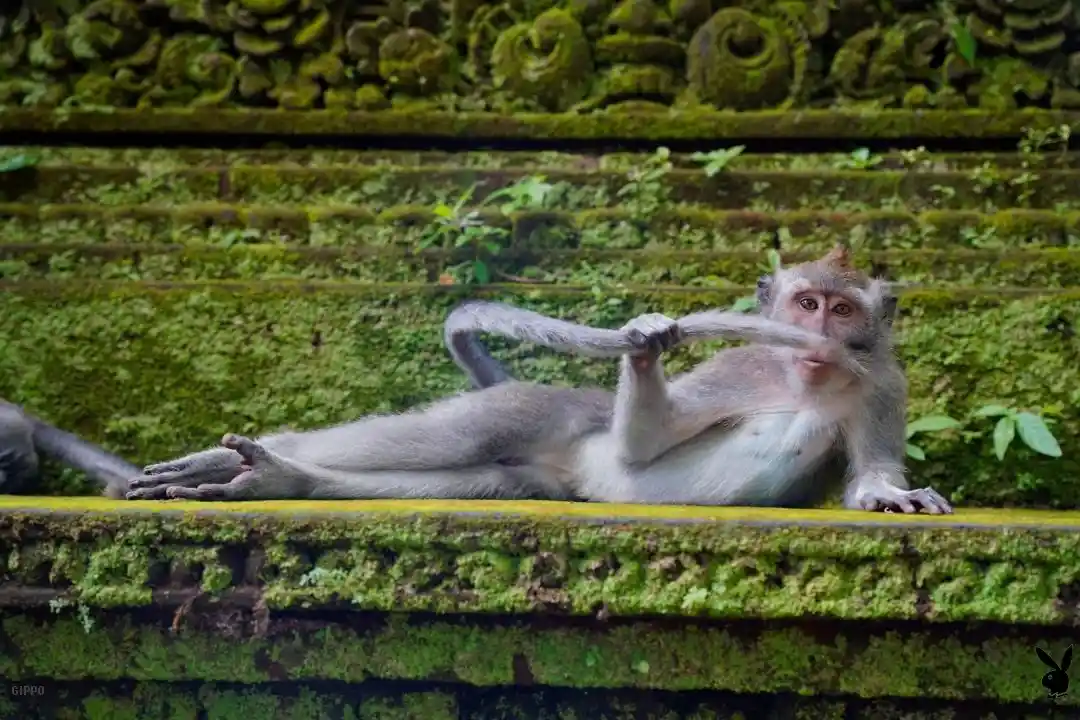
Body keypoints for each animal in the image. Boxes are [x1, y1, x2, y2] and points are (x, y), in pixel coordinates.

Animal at [124, 245, 951, 515]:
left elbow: (870, 470)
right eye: (806, 303)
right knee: (451, 437)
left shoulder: (883, 383)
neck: (803, 380)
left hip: (539, 476)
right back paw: (249, 459)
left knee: (480, 477)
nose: (821, 337)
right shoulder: (738, 366)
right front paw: (648, 341)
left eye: (842, 308)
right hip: (539, 408)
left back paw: (282, 480)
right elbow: (643, 449)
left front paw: (890, 494)